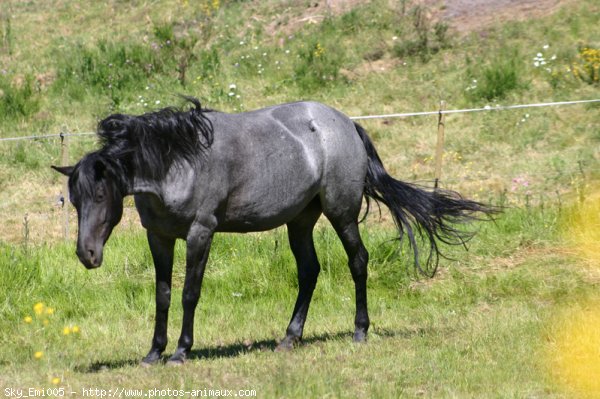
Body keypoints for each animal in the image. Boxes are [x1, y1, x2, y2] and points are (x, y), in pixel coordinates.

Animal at [51, 98, 492, 368]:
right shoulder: (158, 237)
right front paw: (152, 353)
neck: (177, 161)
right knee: (309, 272)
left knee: (358, 261)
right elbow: (162, 295)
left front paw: (180, 351)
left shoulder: (200, 233)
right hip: (300, 221)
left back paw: (359, 331)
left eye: (101, 194)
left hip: (342, 214)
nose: (87, 254)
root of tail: (346, 123)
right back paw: (289, 338)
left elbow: (189, 293)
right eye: (74, 200)